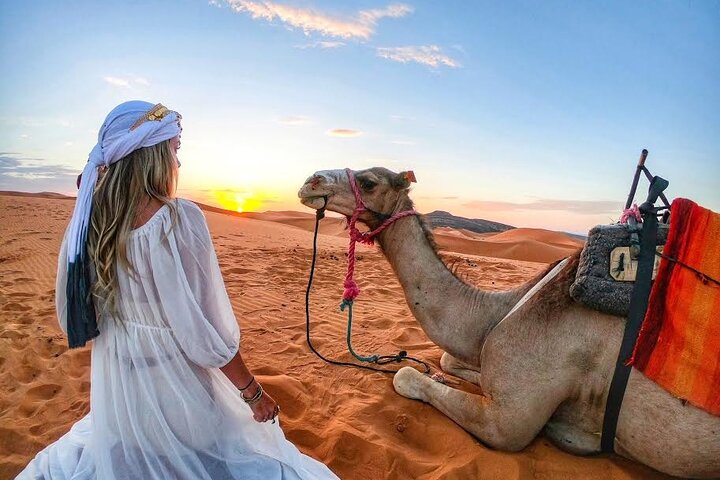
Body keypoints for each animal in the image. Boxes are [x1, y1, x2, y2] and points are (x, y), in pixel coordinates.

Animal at [298, 167, 720, 478]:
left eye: (369, 181)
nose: (311, 181)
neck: (502, 308)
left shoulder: (506, 424)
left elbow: (405, 376)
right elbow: (450, 361)